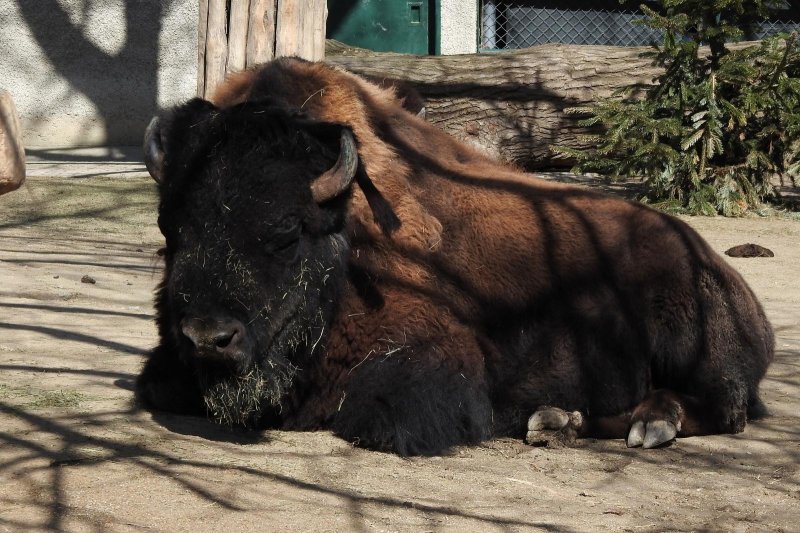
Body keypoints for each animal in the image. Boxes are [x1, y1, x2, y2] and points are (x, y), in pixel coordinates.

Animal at [138, 60, 776, 456]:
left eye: (288, 233)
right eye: (173, 228)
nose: (208, 338)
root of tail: (729, 277)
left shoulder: (436, 359)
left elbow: (377, 414)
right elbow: (158, 386)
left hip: (694, 342)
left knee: (724, 408)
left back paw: (649, 425)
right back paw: (556, 422)